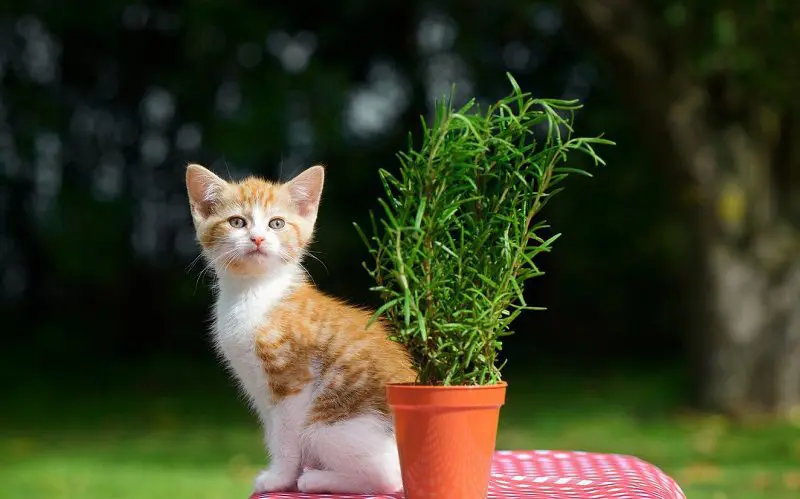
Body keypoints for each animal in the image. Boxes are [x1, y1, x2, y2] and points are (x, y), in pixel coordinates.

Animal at [185, 165, 416, 496]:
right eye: (237, 222)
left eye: (276, 223)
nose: (257, 238)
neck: (255, 294)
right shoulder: (261, 390)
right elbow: (273, 431)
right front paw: (282, 473)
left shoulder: (293, 381)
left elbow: (285, 436)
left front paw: (280, 478)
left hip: (327, 426)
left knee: (389, 477)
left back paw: (317, 479)